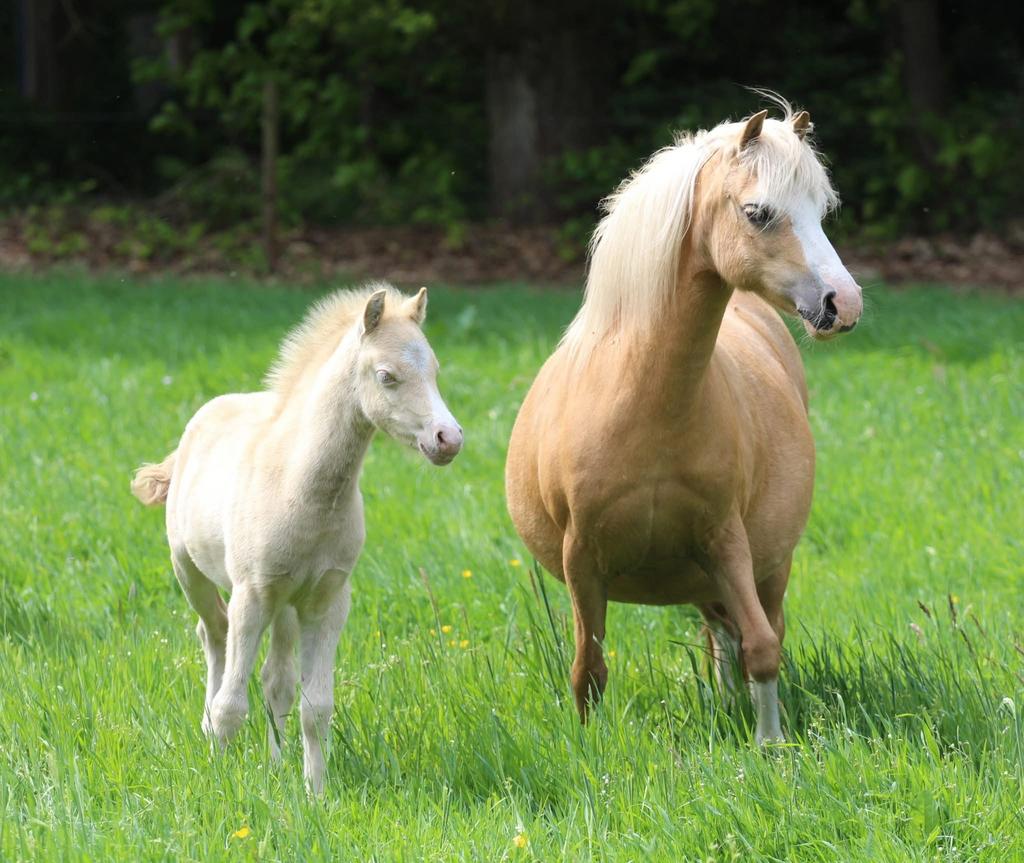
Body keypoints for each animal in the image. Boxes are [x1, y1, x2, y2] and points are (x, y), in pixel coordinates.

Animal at [131, 283, 463, 792]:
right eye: (387, 376)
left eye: (435, 370)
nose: (449, 438)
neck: (299, 484)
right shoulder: (251, 594)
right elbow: (232, 705)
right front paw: (222, 784)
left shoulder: (328, 599)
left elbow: (315, 707)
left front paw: (315, 792)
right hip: (191, 572)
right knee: (213, 634)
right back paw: (208, 733)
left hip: (287, 602)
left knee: (278, 680)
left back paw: (274, 764)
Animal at [505, 103, 862, 743]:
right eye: (758, 212)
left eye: (821, 212)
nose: (841, 304)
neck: (644, 405)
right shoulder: (581, 559)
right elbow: (588, 668)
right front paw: (590, 747)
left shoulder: (725, 540)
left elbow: (762, 648)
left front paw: (770, 746)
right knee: (718, 632)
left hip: (764, 566)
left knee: (742, 632)